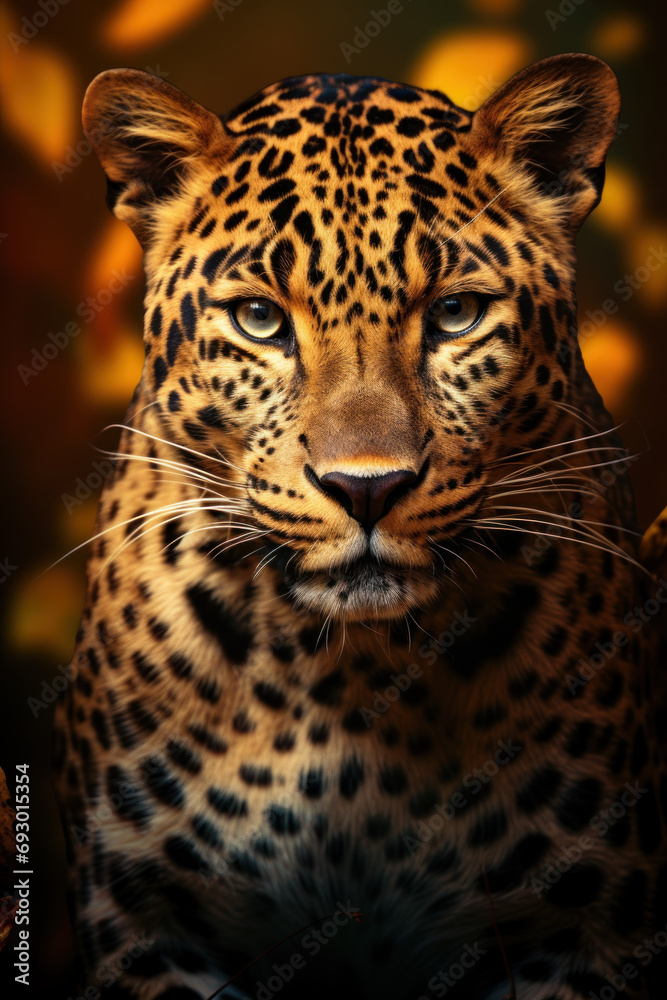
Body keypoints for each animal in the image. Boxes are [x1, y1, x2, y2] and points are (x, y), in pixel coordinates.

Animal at [53, 54, 667, 1000]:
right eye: (259, 319)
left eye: (455, 314)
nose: (366, 488)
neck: (350, 675)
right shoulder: (144, 920)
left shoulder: (577, 929)